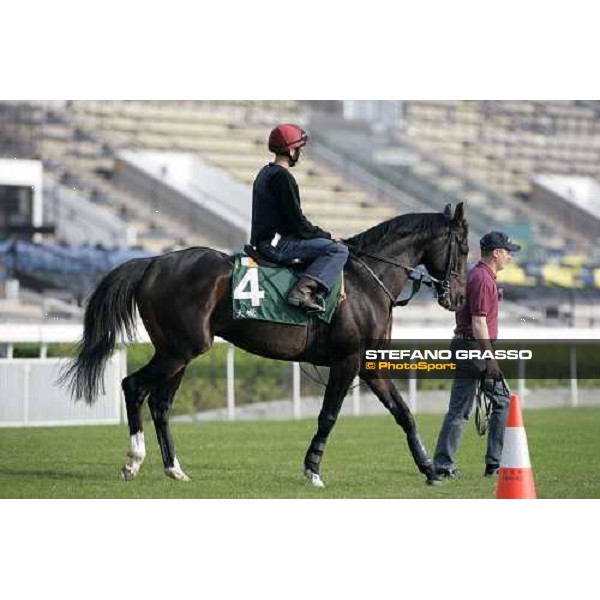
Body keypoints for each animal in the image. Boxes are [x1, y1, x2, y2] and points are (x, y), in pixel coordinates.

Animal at [63, 204, 472, 486]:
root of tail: (153, 262)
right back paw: (133, 460)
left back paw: (174, 469)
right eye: (465, 248)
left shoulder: (369, 364)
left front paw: (430, 469)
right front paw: (312, 470)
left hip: (178, 353)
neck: (367, 281)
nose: (458, 298)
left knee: (160, 404)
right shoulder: (346, 360)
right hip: (180, 350)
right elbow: (328, 416)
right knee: (133, 386)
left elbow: (404, 413)